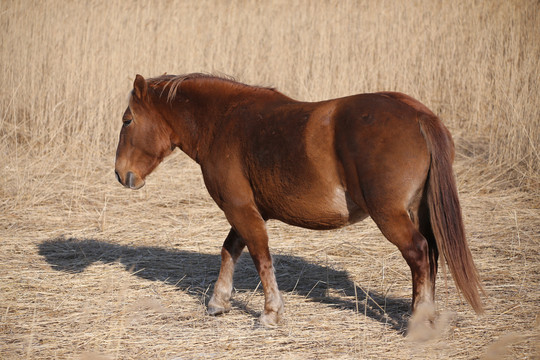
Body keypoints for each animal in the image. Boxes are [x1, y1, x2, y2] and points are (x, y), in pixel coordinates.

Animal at [116, 73, 484, 326]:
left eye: (128, 120)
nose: (121, 174)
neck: (224, 122)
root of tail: (417, 114)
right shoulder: (251, 211)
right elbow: (229, 250)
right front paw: (218, 302)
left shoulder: (240, 209)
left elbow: (260, 256)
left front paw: (270, 312)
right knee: (431, 254)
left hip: (390, 215)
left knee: (419, 253)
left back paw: (418, 319)